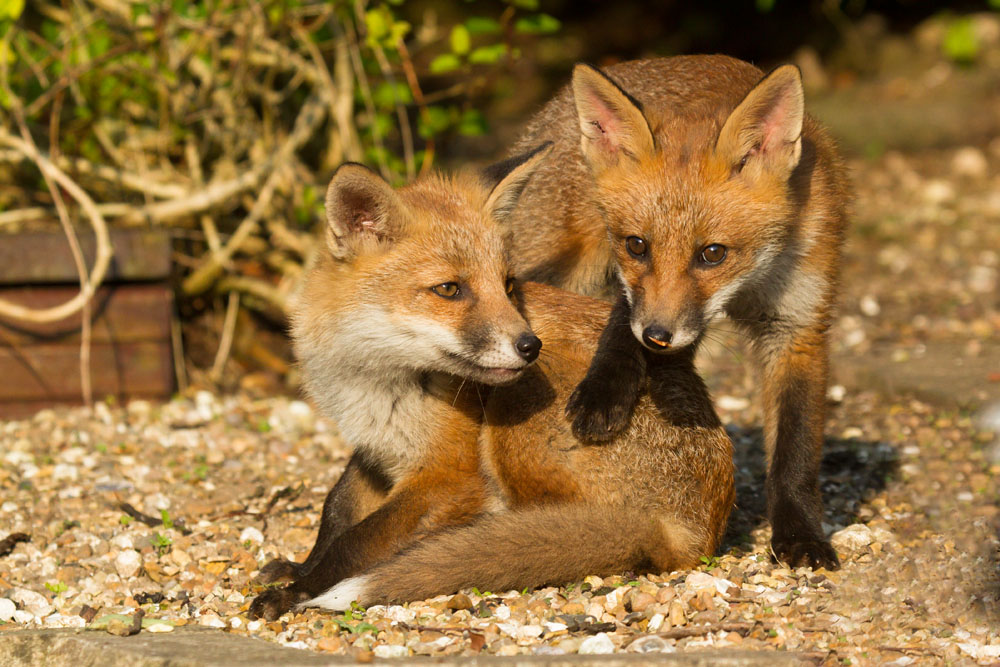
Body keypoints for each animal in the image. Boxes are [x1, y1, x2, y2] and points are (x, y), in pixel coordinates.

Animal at [248, 144, 734, 618]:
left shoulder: (447, 475)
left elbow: (356, 540)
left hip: (518, 415)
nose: (530, 345)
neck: (377, 383)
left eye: (508, 284)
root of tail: (695, 530)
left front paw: (298, 591)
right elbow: (335, 510)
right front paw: (301, 568)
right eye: (449, 289)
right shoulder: (375, 449)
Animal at [503, 55, 850, 570]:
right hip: (567, 269)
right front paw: (604, 391)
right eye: (636, 246)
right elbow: (620, 325)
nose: (657, 336)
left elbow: (796, 450)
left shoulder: (797, 325)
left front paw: (801, 535)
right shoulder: (634, 296)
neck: (748, 283)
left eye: (712, 253)